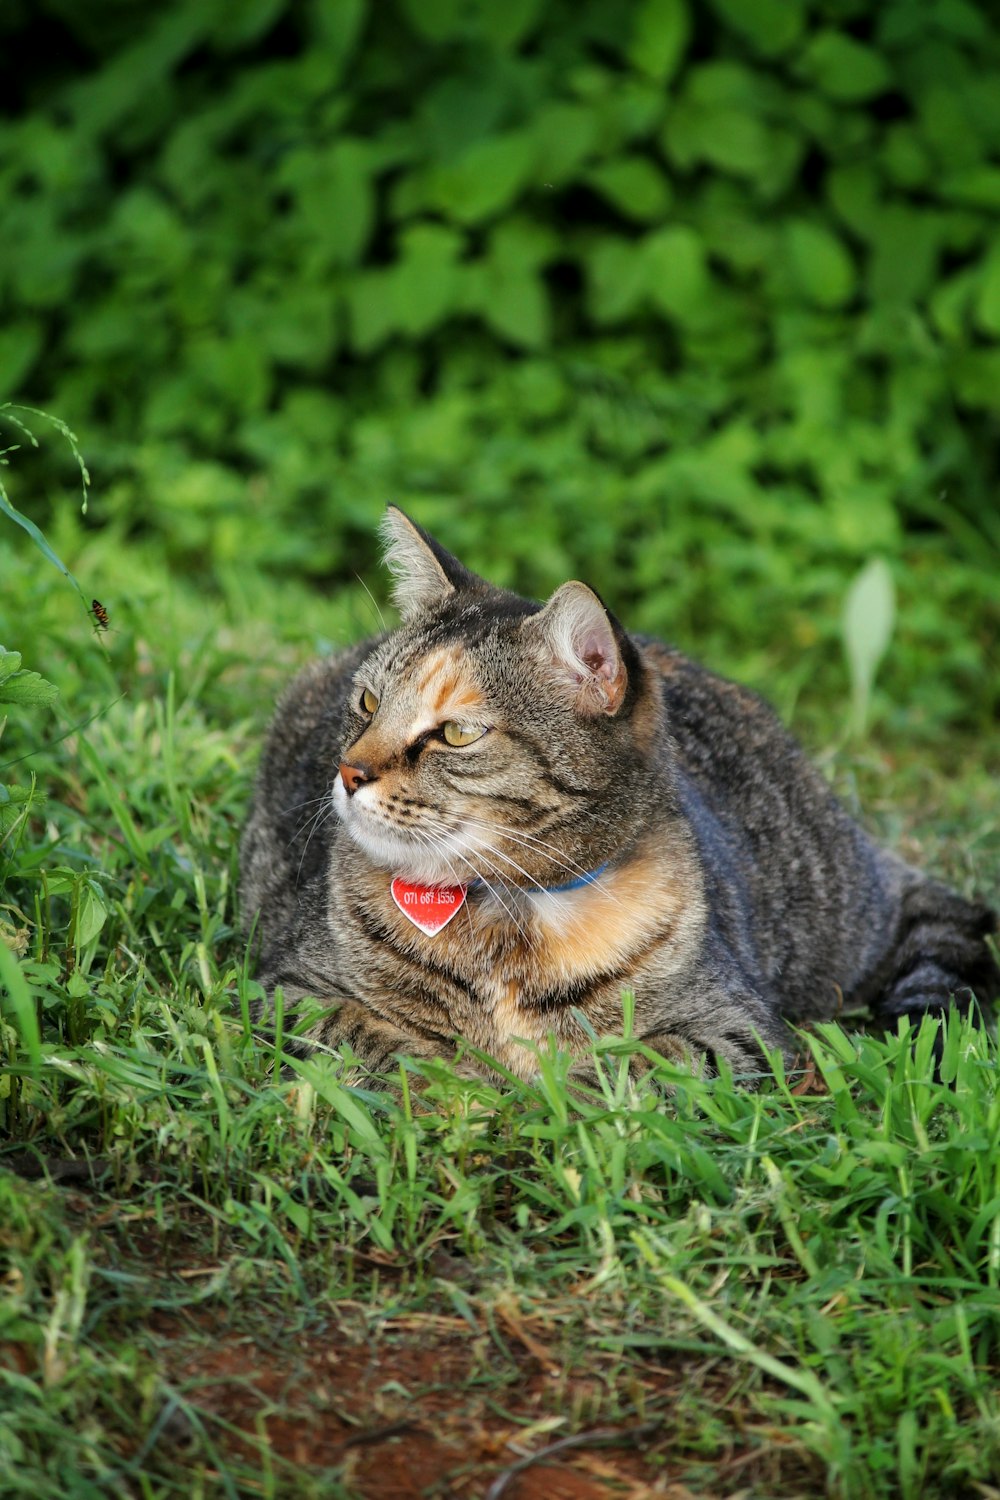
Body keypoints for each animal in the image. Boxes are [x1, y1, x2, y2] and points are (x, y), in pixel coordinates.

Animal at [238, 510, 995, 1086]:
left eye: (455, 733)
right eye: (368, 702)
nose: (348, 771)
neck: (505, 919)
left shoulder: (737, 1031)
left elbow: (628, 1070)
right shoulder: (288, 991)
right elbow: (377, 1039)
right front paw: (465, 1080)